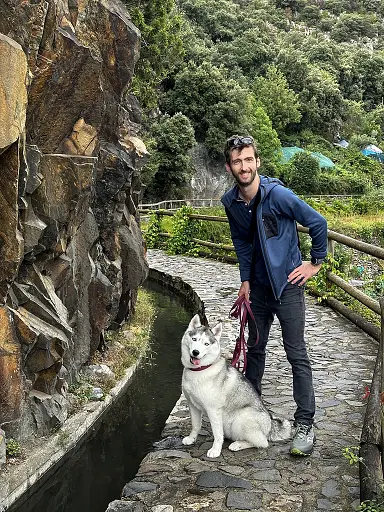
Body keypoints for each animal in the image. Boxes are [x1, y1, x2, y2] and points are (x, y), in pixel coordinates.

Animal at [181, 314, 292, 458]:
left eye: (206, 344)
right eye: (194, 339)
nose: (195, 352)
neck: (200, 370)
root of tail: (270, 424)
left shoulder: (213, 410)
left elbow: (217, 434)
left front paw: (215, 450)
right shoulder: (193, 405)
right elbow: (195, 425)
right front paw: (191, 438)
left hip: (242, 418)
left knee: (262, 442)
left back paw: (238, 444)